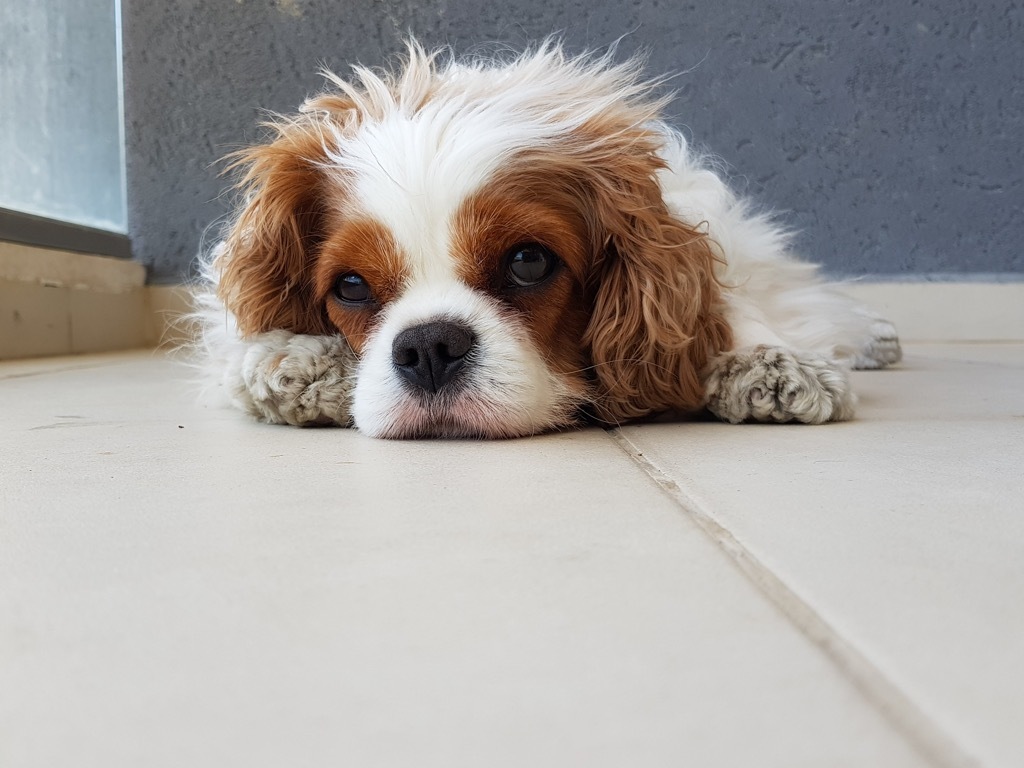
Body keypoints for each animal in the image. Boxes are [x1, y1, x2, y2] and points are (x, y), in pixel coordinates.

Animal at [195, 40, 901, 438]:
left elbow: (728, 301)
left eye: (529, 262)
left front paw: (767, 357)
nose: (428, 346)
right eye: (349, 286)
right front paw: (296, 355)